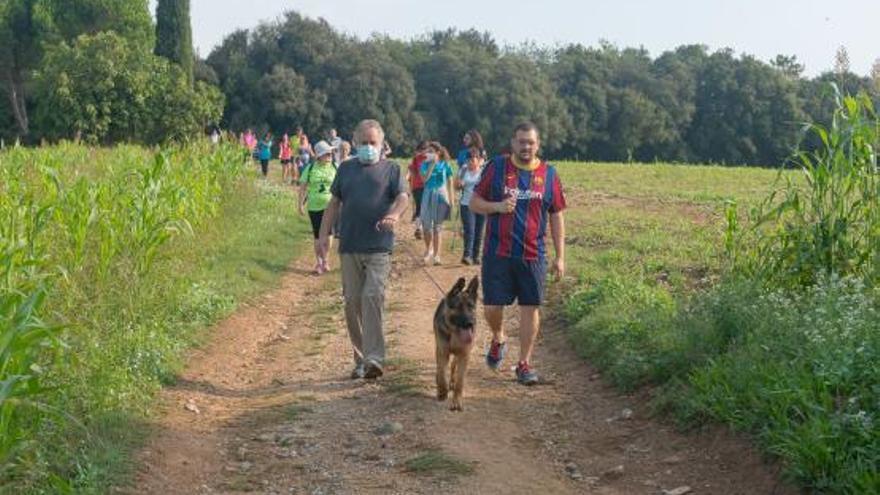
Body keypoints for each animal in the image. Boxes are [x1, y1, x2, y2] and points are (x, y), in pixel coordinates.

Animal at [434, 278, 478, 412]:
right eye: (458, 307)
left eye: (471, 306)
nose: (470, 323)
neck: (455, 333)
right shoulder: (443, 352)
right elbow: (442, 374)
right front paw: (442, 392)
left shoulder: (464, 355)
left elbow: (460, 381)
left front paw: (457, 401)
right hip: (439, 349)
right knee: (440, 368)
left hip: (458, 355)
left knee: (454, 366)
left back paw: (452, 381)